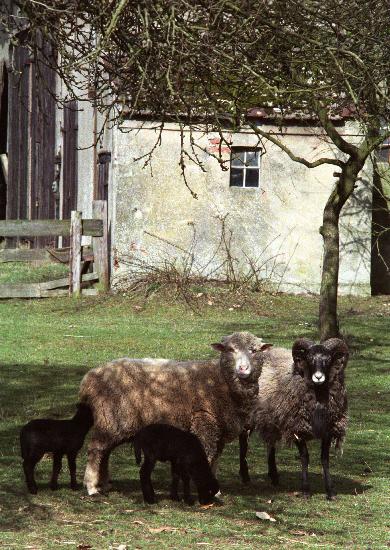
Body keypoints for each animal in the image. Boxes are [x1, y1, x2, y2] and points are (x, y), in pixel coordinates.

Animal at [77, 334, 270, 498]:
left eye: (254, 350)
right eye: (230, 349)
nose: (243, 368)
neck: (222, 379)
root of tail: (90, 378)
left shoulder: (219, 430)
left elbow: (215, 459)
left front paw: (215, 491)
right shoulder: (204, 422)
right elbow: (207, 456)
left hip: (114, 421)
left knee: (105, 451)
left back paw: (103, 484)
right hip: (111, 418)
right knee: (96, 449)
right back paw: (91, 486)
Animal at [239, 338, 348, 502]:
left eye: (328, 359)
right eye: (309, 358)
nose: (318, 377)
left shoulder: (328, 429)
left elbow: (325, 459)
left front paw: (331, 491)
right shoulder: (297, 427)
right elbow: (305, 457)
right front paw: (305, 490)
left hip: (272, 419)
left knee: (270, 444)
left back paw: (274, 476)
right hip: (247, 416)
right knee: (243, 442)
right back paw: (245, 475)